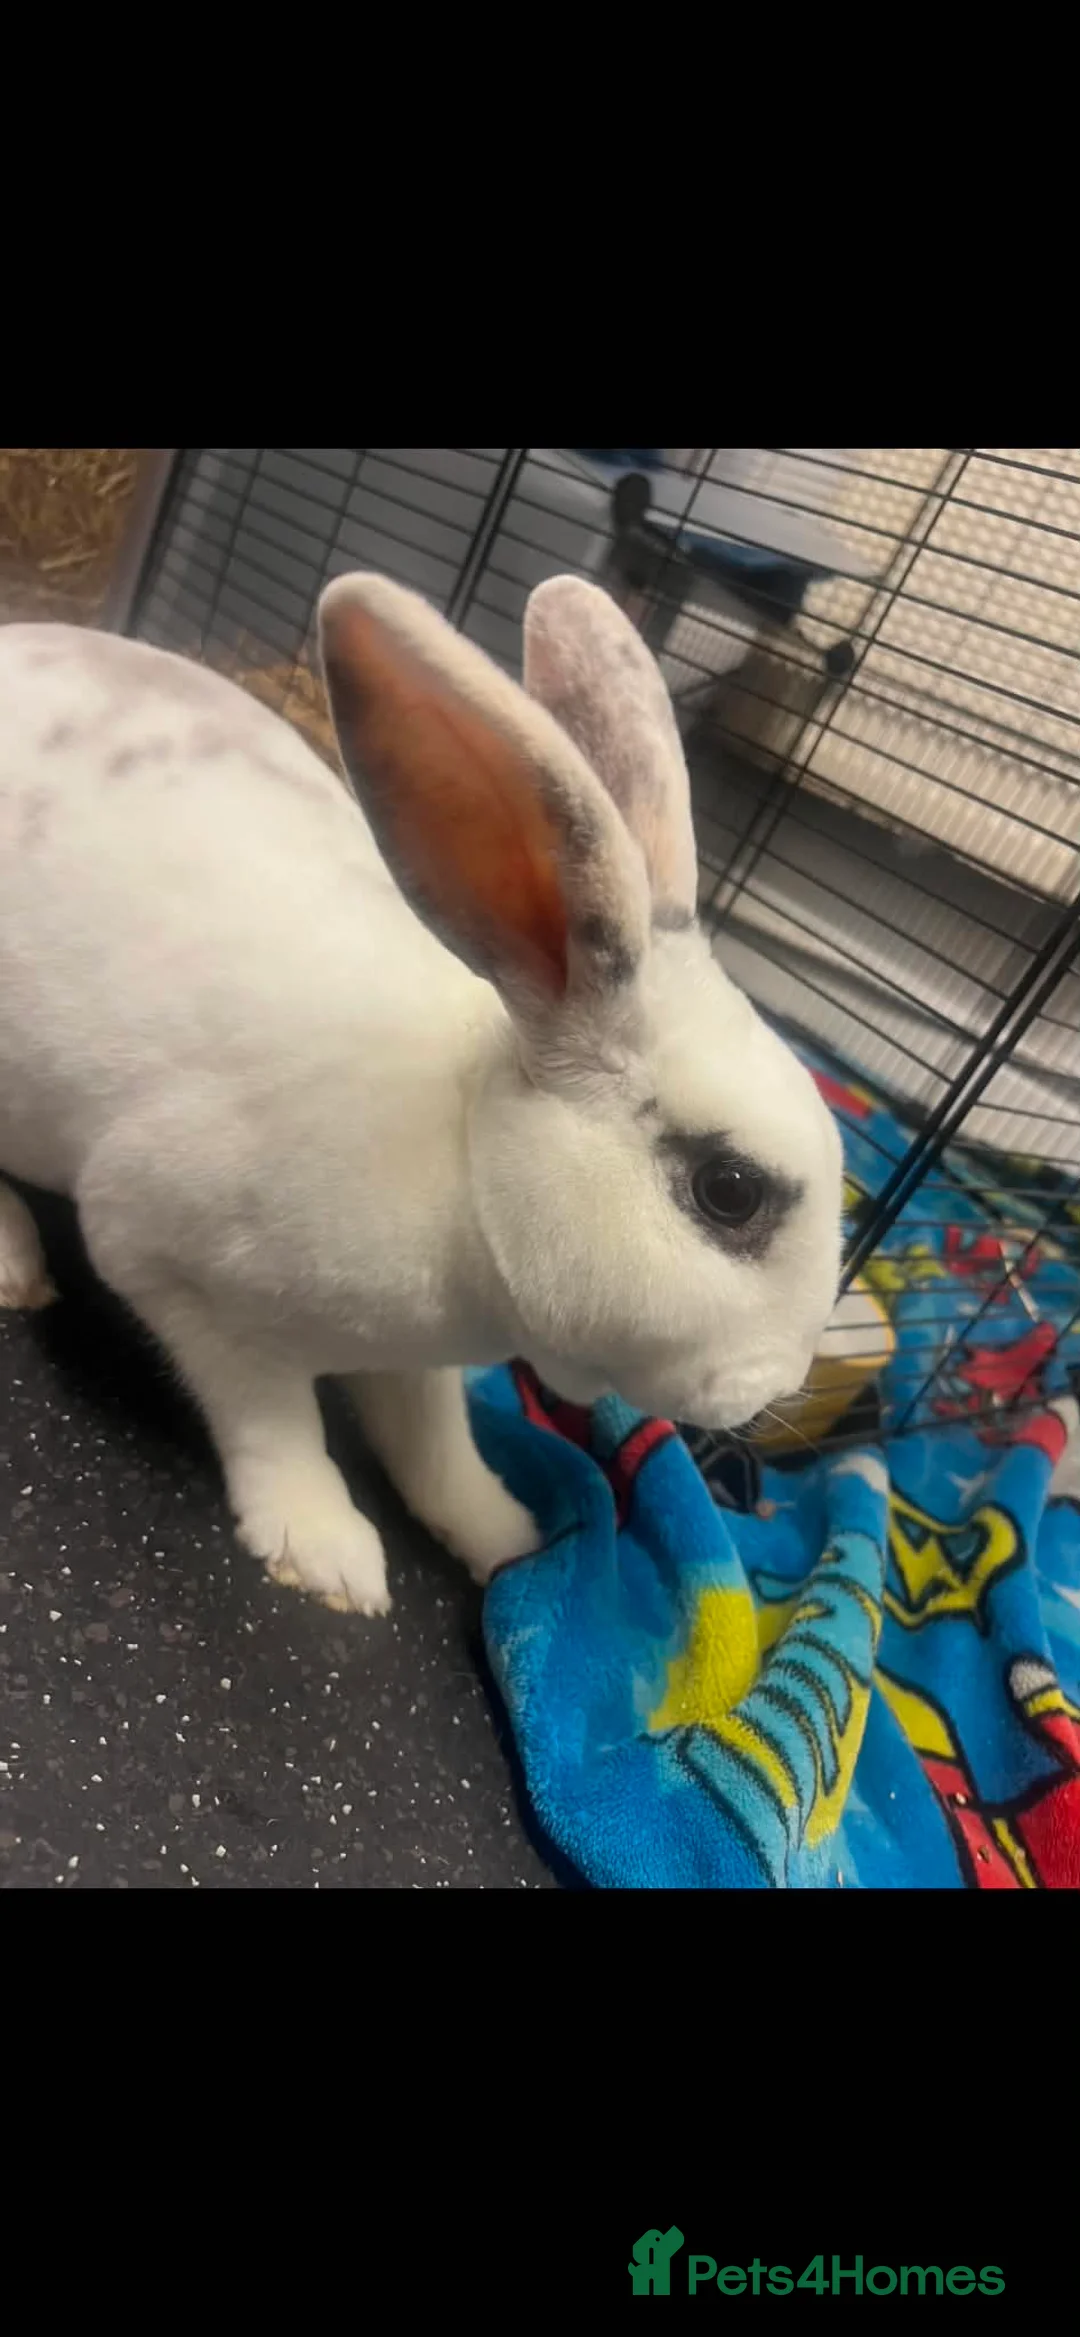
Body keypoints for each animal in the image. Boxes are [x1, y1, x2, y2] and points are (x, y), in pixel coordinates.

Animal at [0, 572, 843, 1616]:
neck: (462, 1158)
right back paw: (14, 1261)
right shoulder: (174, 1270)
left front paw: (508, 1536)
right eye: (729, 1190)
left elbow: (437, 1447)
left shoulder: (421, 1365)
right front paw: (327, 1553)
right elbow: (273, 1422)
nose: (778, 1382)